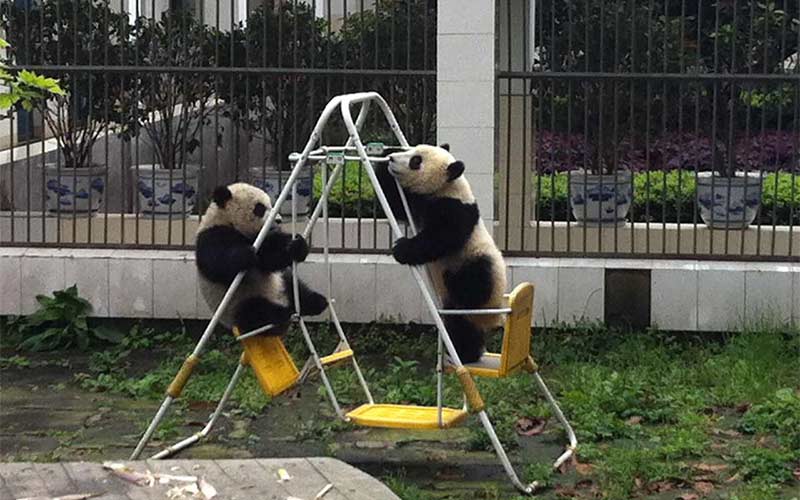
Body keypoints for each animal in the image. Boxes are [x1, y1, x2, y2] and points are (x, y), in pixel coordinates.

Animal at [195, 182, 328, 335]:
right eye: (260, 208)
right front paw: (246, 255)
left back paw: (316, 302)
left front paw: (296, 246)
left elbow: (269, 260)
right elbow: (218, 265)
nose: (278, 220)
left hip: (280, 282)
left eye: (271, 204)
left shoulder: (261, 239)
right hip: (238, 302)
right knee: (256, 311)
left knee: (295, 286)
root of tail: (281, 299)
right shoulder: (212, 235)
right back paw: (282, 314)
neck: (226, 220)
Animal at [375, 144, 507, 363]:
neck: (446, 188)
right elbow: (395, 205)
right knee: (461, 328)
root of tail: (492, 316)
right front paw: (383, 155)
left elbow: (440, 238)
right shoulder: (417, 202)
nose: (393, 159)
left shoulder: (456, 209)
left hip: (480, 262)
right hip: (461, 313)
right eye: (410, 150)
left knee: (475, 280)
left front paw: (401, 249)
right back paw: (465, 353)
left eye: (416, 161)